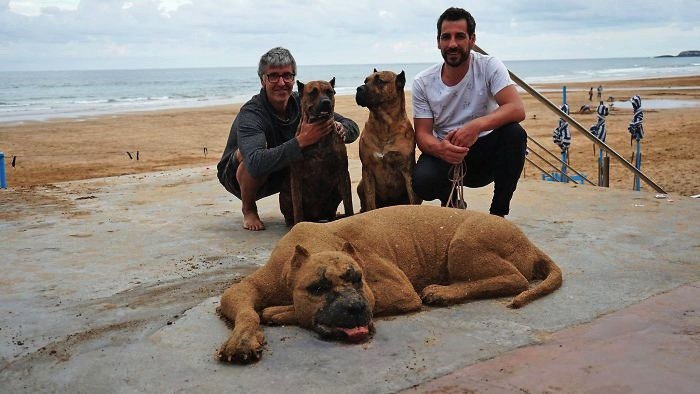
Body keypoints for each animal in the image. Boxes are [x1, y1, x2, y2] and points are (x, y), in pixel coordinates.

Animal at [219, 206, 564, 364]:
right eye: (317, 289)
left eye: (357, 280)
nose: (355, 308)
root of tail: (530, 243)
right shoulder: (242, 290)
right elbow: (246, 311)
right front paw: (243, 339)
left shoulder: (398, 291)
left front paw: (280, 311)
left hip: (464, 243)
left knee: (514, 279)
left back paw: (443, 291)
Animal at [278, 77, 352, 225]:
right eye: (313, 92)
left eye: (329, 92)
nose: (326, 102)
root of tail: (316, 217)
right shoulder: (296, 175)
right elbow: (297, 205)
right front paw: (298, 224)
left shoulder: (342, 171)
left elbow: (348, 202)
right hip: (284, 195)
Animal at [358, 71, 418, 212]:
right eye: (365, 81)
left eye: (380, 81)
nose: (359, 89)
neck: (383, 124)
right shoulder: (367, 170)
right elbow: (370, 201)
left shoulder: (407, 171)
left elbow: (412, 198)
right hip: (360, 184)